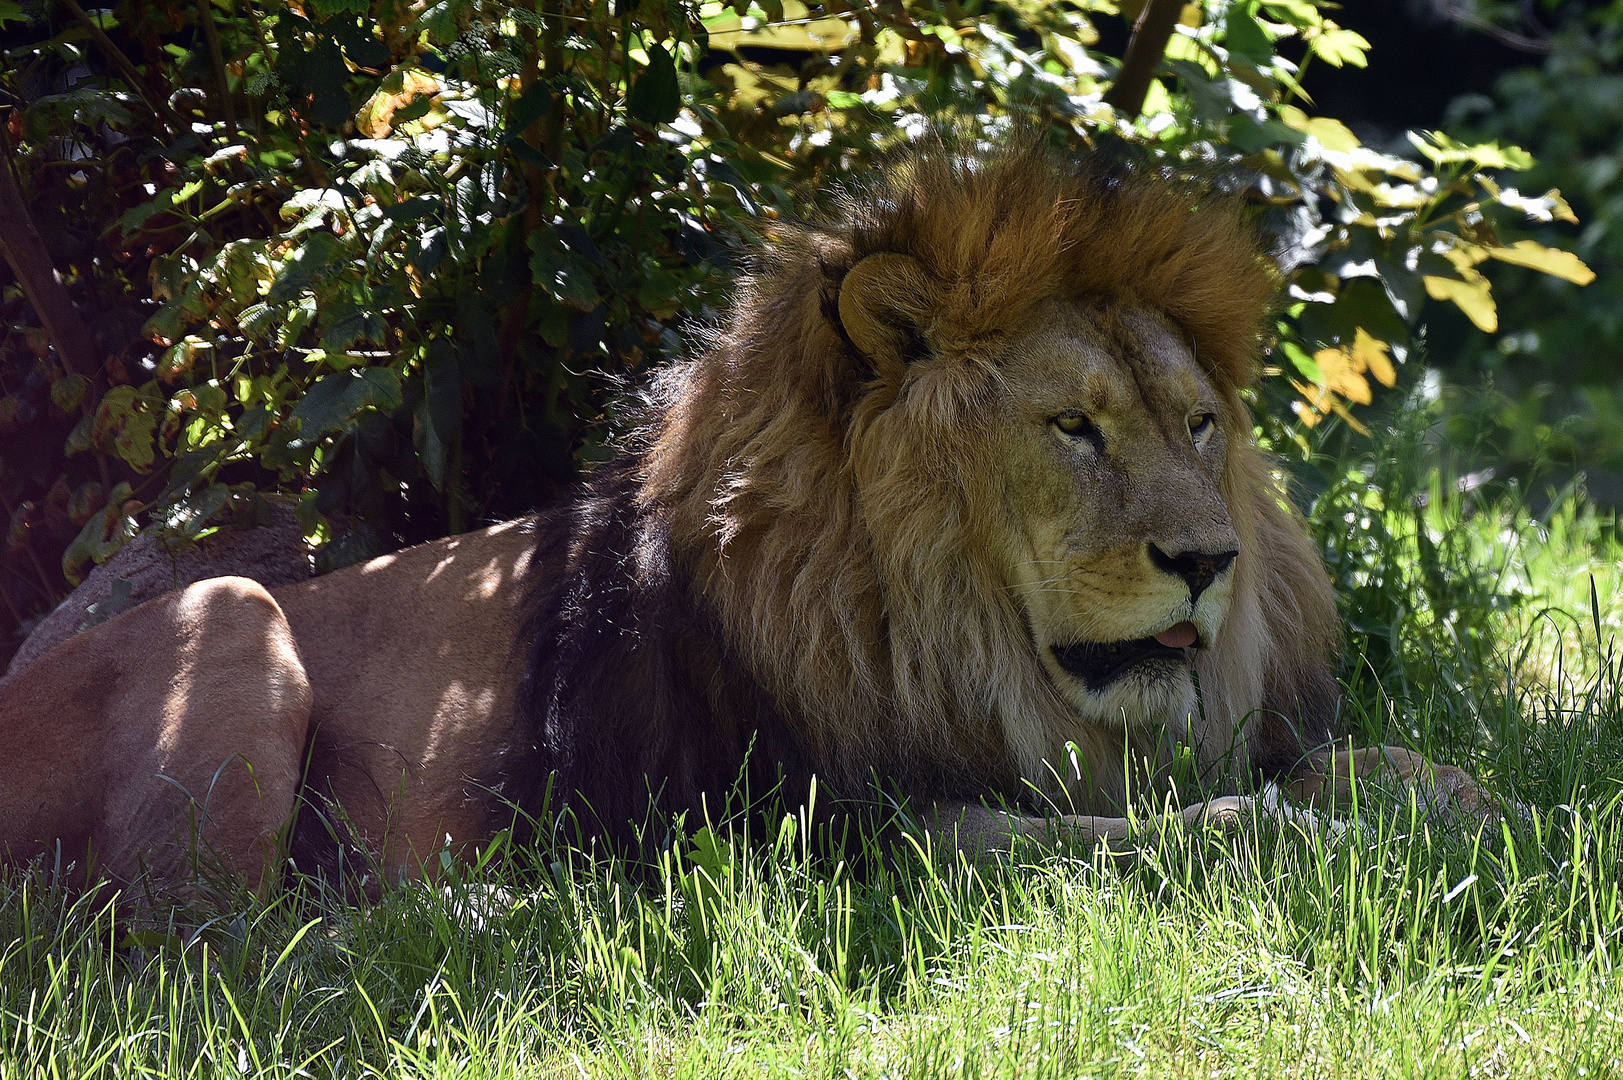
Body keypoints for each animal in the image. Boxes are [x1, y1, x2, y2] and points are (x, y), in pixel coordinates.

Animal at [3, 141, 1493, 883]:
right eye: (1071, 429)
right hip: (228, 612)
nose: (1209, 562)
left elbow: (1379, 765)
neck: (956, 635)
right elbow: (1150, 834)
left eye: (1196, 425)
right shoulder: (831, 829)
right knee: (200, 953)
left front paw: (1462, 802)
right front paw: (1305, 843)